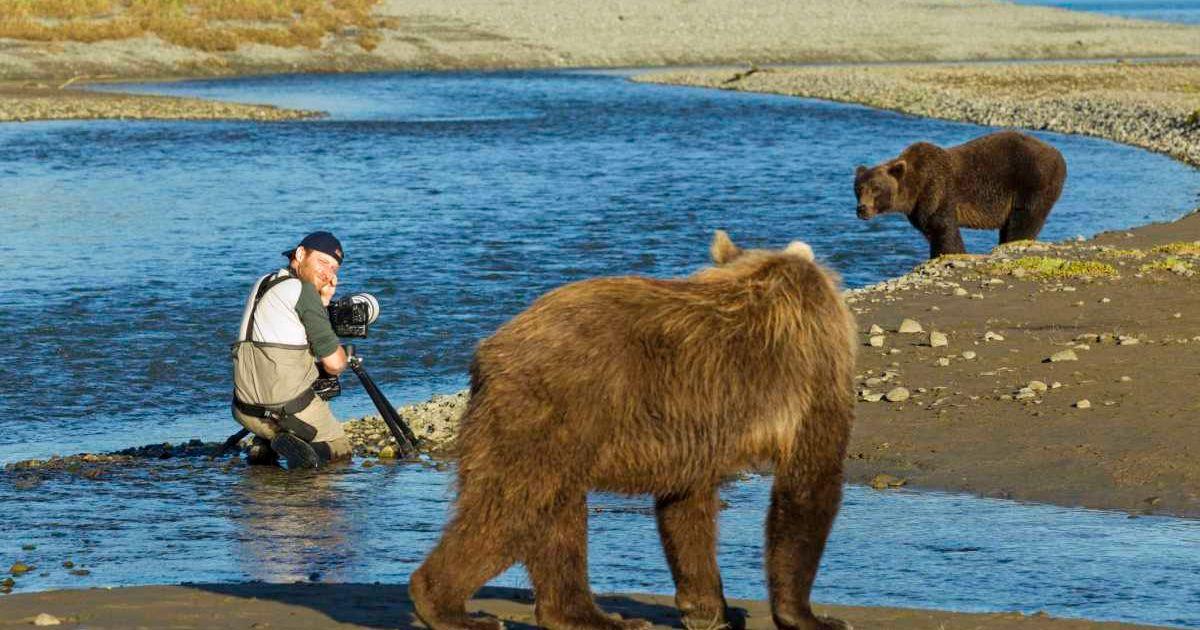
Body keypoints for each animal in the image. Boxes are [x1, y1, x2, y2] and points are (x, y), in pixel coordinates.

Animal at [410, 231, 857, 630]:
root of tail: (487, 351)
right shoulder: (812, 375)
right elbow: (809, 485)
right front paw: (810, 617)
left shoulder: (693, 433)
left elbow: (686, 508)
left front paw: (707, 608)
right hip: (549, 412)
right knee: (514, 506)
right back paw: (452, 609)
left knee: (556, 515)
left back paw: (589, 617)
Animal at [854, 130, 1067, 259]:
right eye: (858, 189)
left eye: (876, 188)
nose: (862, 209)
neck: (914, 188)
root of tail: (1059, 155)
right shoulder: (918, 207)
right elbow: (929, 230)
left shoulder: (937, 191)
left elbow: (943, 229)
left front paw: (950, 253)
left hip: (1032, 181)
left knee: (1024, 218)